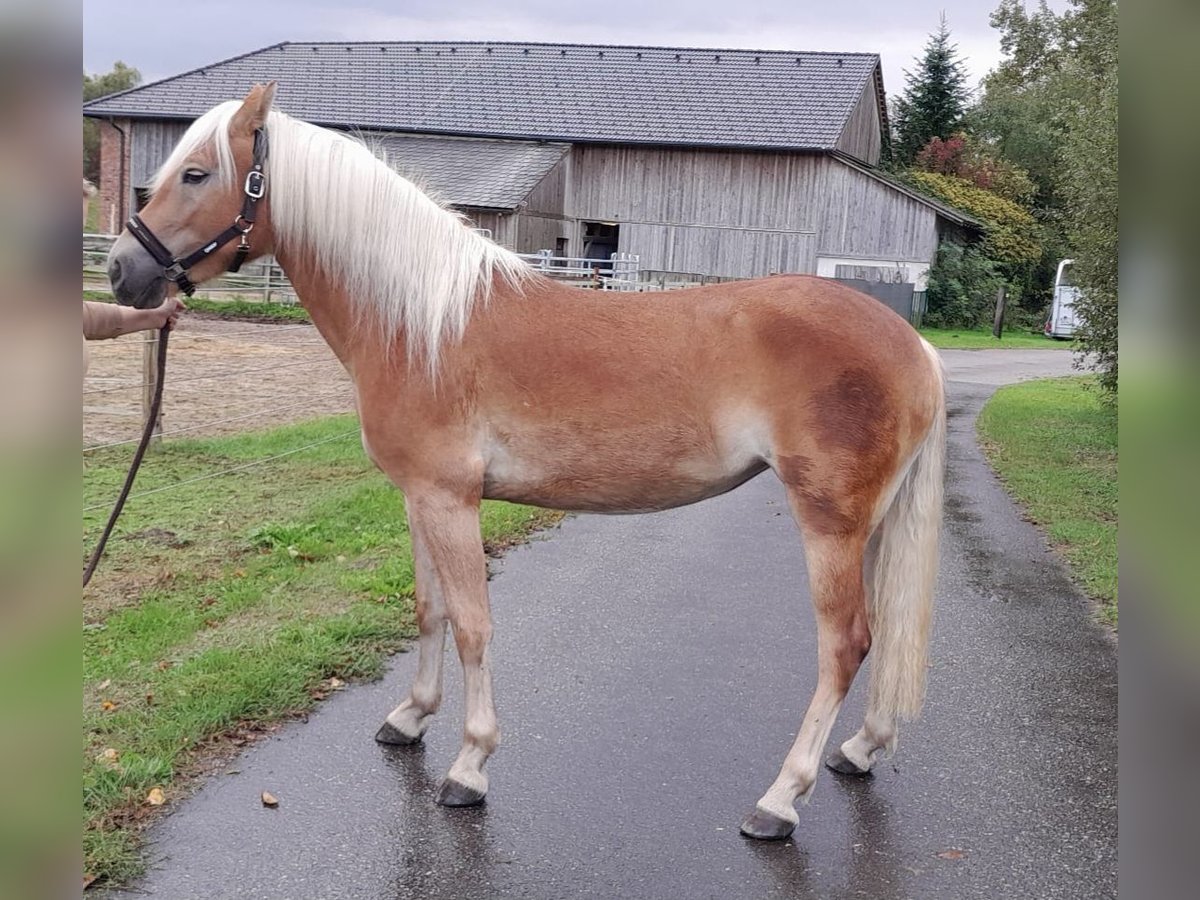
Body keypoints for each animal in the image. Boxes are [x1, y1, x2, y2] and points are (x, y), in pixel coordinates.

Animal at [105, 84, 945, 844]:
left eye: (196, 174)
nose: (120, 272)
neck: (420, 322)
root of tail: (915, 345)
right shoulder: (418, 497)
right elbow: (429, 610)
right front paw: (409, 719)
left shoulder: (451, 499)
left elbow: (474, 625)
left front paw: (469, 767)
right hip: (867, 527)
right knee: (879, 632)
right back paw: (859, 751)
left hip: (829, 523)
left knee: (845, 645)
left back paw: (779, 801)